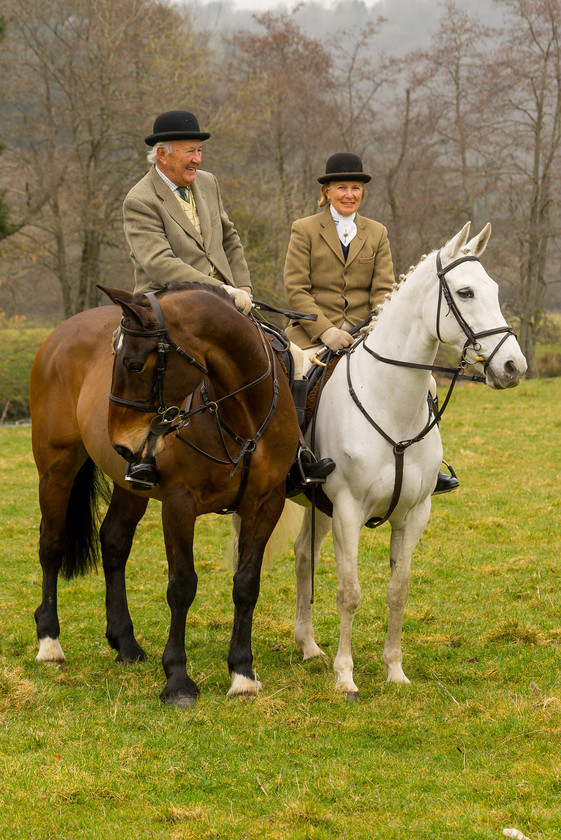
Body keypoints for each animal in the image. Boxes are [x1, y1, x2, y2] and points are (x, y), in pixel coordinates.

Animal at [29, 284, 302, 708]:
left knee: (114, 543)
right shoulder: (179, 504)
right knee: (52, 545)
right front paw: (177, 679)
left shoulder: (265, 504)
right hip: (56, 468)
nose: (122, 444)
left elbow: (246, 584)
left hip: (129, 488)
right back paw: (50, 641)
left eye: (133, 364)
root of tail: (60, 333)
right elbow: (182, 586)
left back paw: (125, 643)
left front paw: (242, 673)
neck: (242, 412)